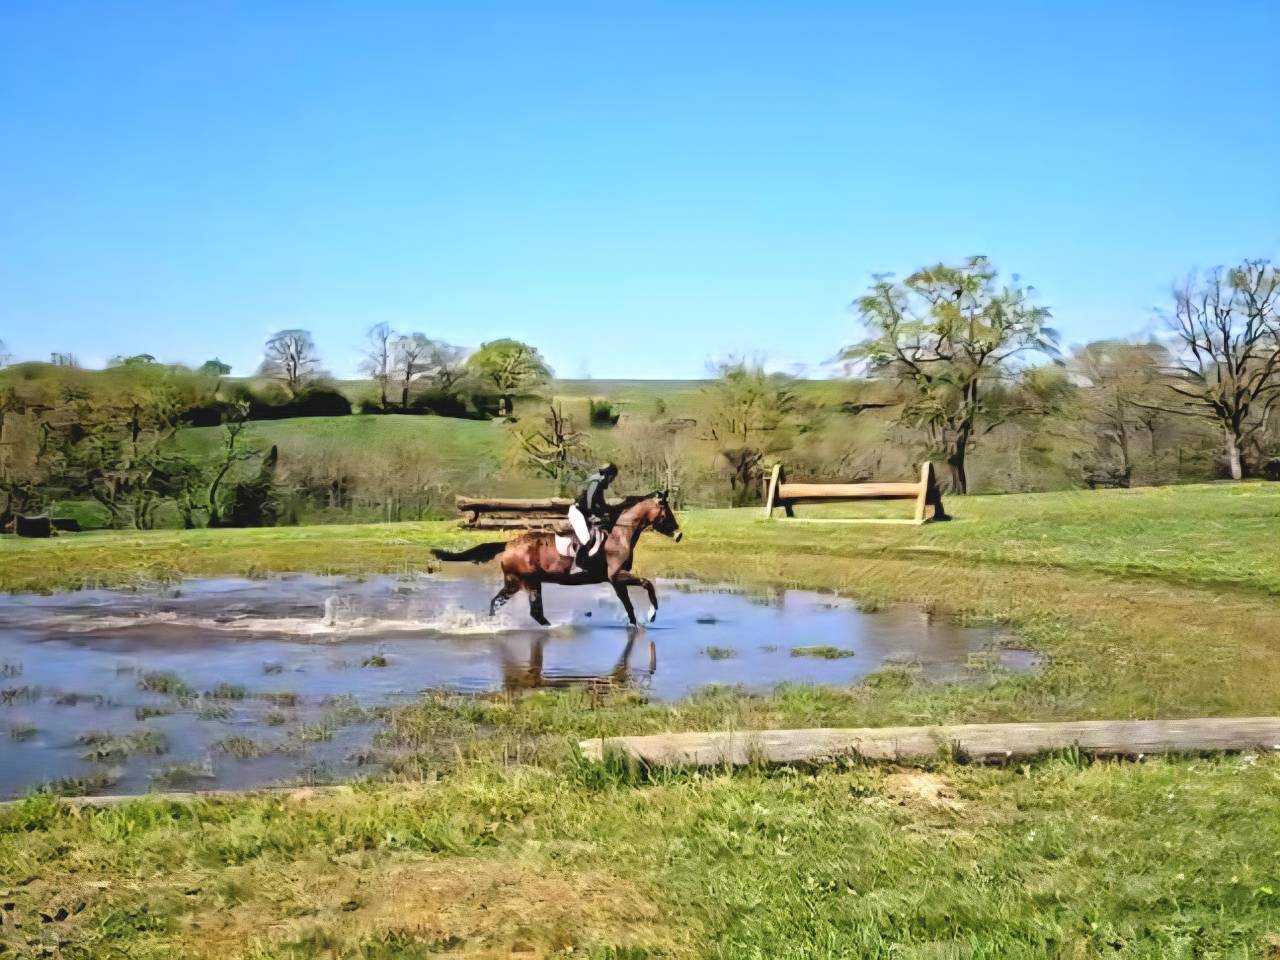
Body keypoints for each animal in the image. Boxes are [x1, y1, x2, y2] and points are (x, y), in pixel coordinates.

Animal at [431, 491, 682, 627]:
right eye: (667, 512)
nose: (679, 534)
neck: (620, 534)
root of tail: (510, 544)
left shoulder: (615, 580)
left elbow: (628, 604)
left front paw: (636, 624)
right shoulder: (617, 576)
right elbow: (646, 585)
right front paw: (651, 614)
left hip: (515, 582)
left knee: (498, 603)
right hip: (529, 582)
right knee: (534, 612)